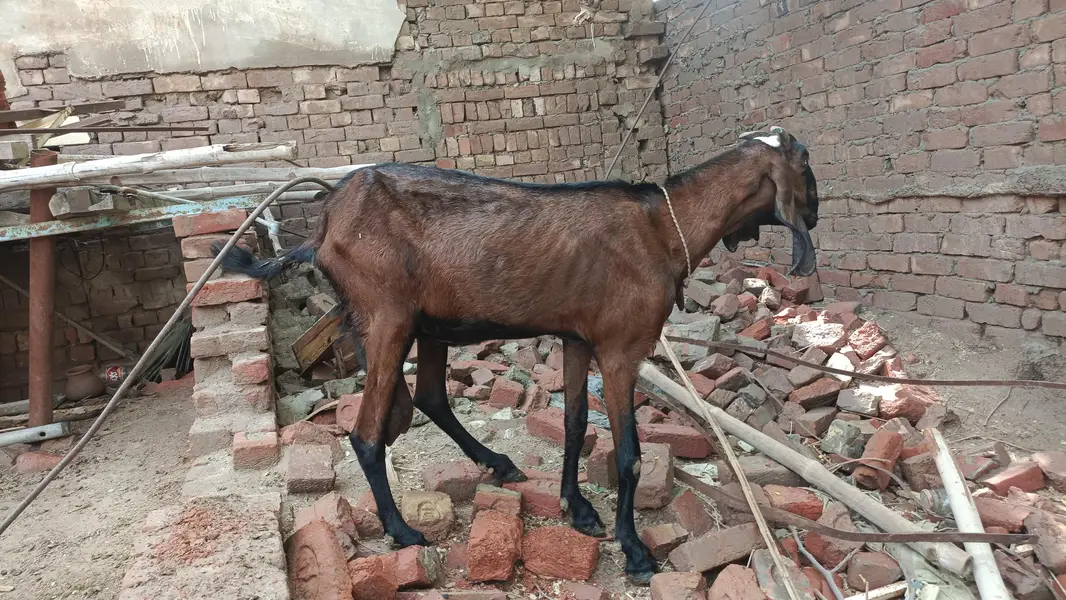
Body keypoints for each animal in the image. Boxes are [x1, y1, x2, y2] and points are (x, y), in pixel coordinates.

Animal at [214, 126, 820, 584]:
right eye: (805, 162)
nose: (814, 215)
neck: (662, 227)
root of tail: (324, 227)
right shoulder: (622, 347)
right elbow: (628, 453)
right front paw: (635, 551)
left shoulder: (578, 338)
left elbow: (576, 422)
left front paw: (579, 509)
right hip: (388, 317)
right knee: (366, 433)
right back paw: (403, 530)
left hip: (427, 325)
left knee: (431, 396)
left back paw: (498, 464)